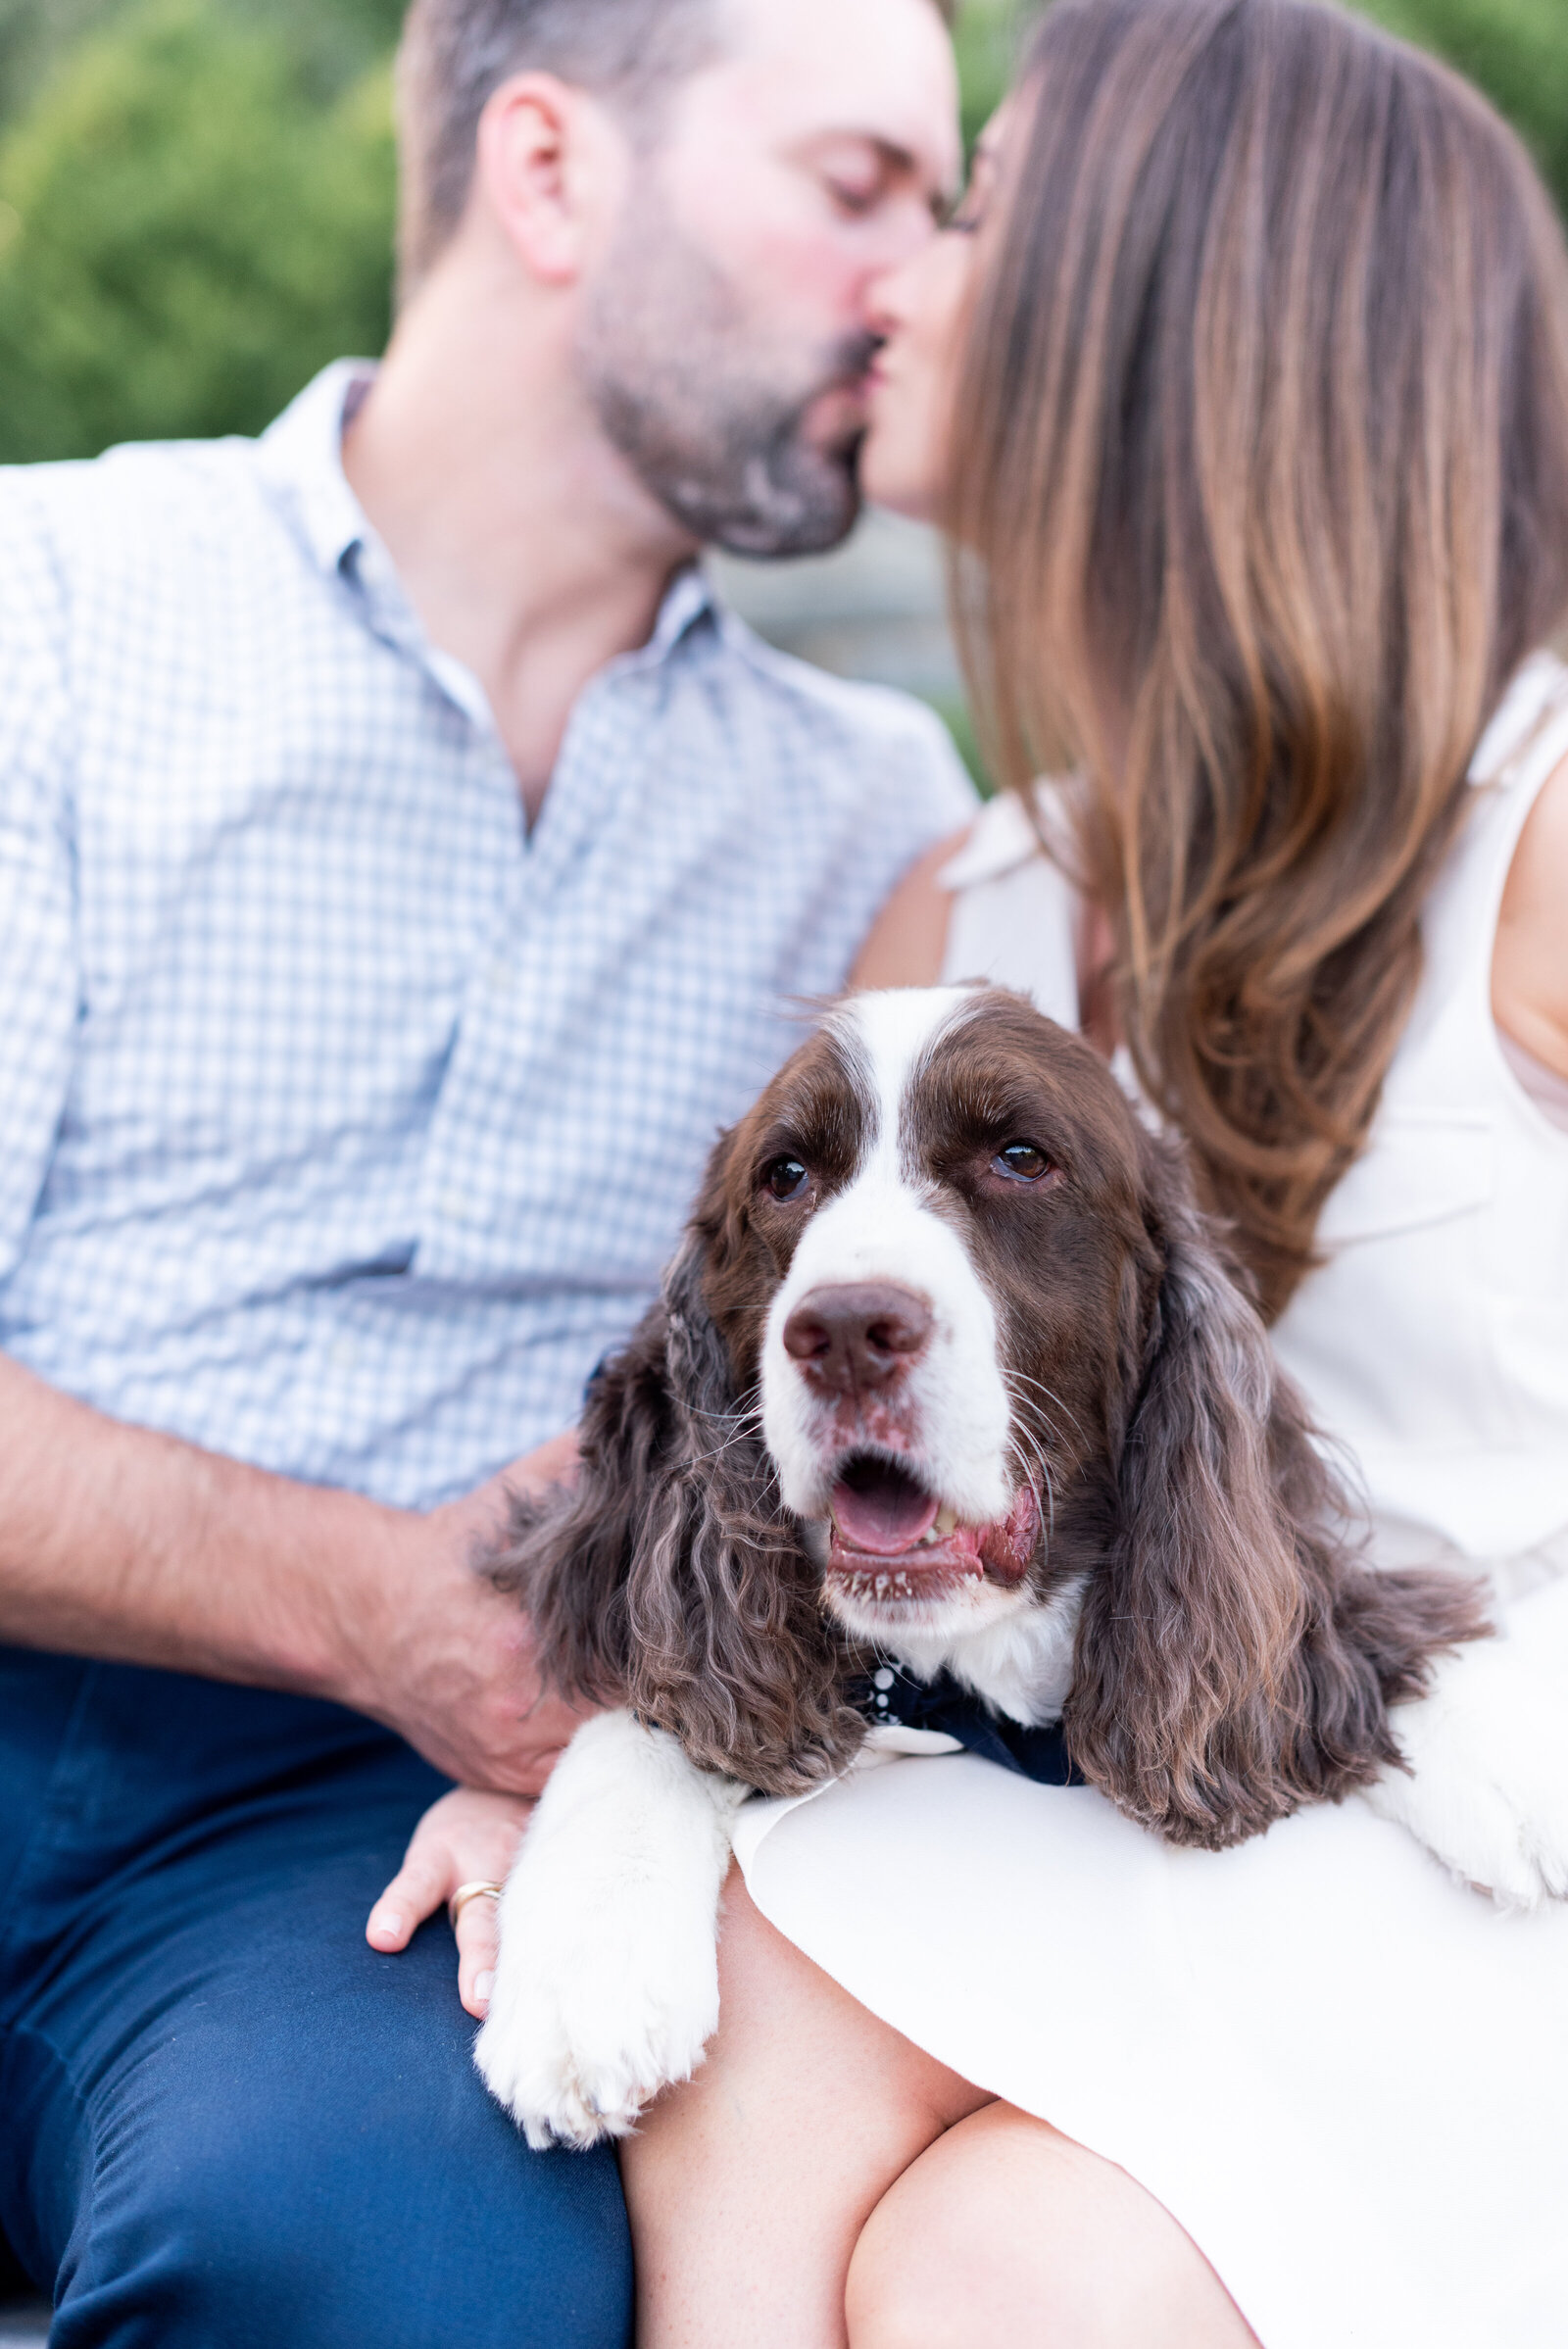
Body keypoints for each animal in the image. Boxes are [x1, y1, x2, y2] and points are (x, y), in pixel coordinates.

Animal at [478, 986, 1568, 2151]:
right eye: (785, 1176)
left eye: (1019, 1157)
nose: (847, 1329)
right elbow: (657, 1708)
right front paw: (584, 1968)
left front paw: (1505, 1745)